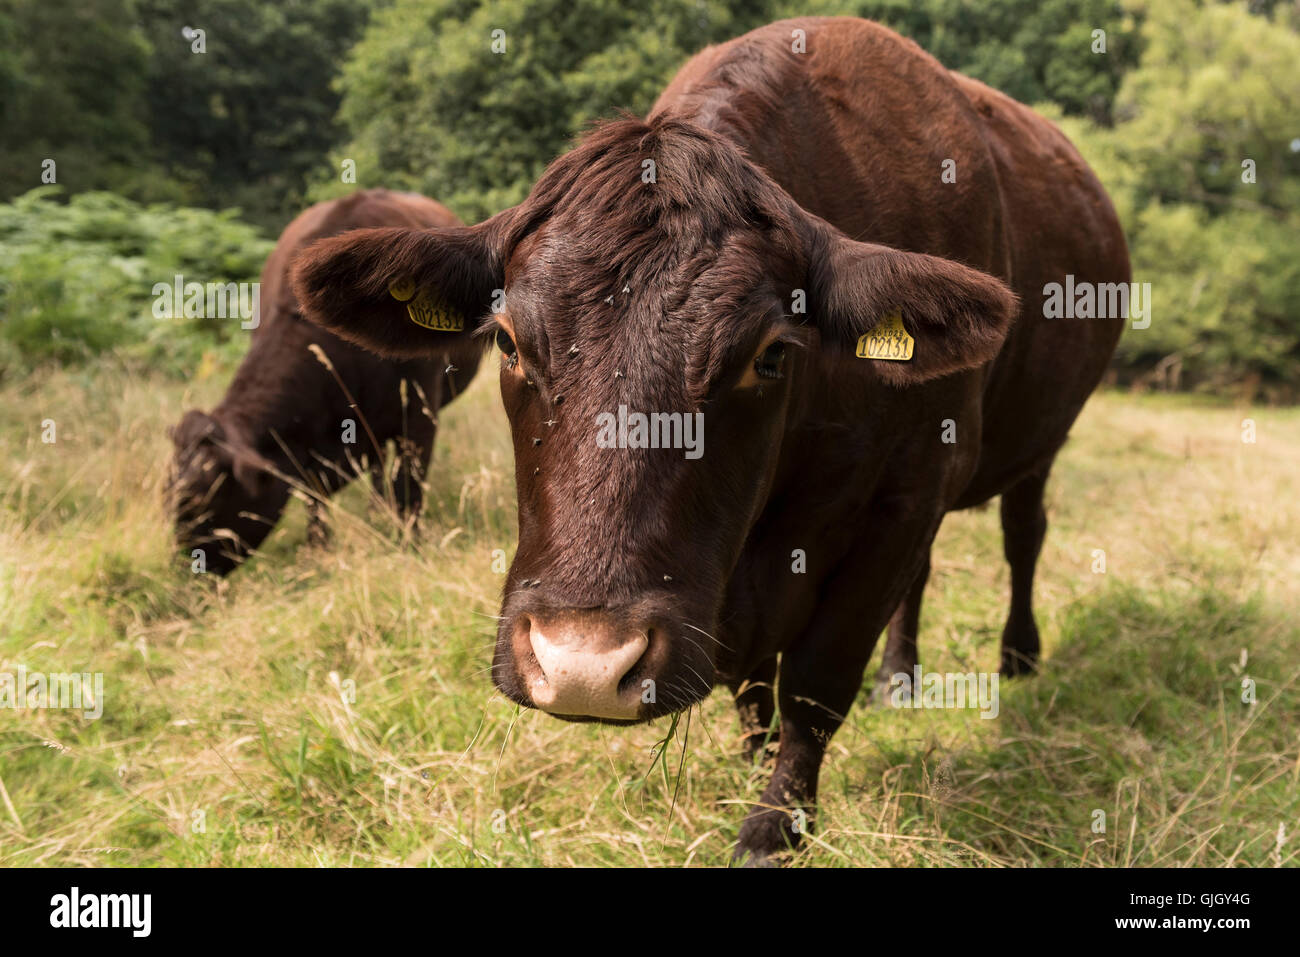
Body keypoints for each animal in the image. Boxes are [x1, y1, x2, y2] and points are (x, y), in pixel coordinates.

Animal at [167, 191, 480, 572]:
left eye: (198, 502)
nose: (187, 568)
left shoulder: (419, 413)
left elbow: (408, 488)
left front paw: (410, 547)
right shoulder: (306, 445)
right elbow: (314, 497)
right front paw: (319, 550)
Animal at [295, 18, 1128, 863]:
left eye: (772, 353)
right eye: (506, 341)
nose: (582, 662)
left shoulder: (909, 491)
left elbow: (816, 681)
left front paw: (777, 819)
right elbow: (754, 682)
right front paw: (753, 760)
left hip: (1039, 443)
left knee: (1022, 535)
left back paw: (1017, 655)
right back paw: (901, 677)